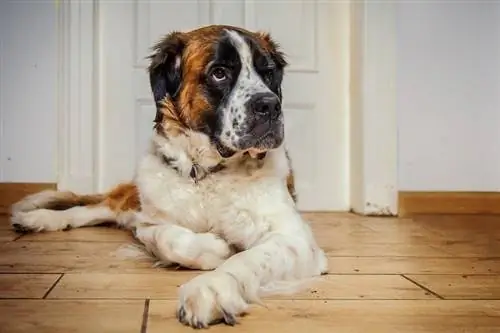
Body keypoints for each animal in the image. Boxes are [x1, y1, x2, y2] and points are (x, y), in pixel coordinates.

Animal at [9, 24, 328, 328]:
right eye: (220, 73)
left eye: (268, 73)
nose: (270, 105)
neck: (208, 174)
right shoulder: (148, 223)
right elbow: (169, 238)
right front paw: (216, 248)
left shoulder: (294, 239)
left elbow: (248, 259)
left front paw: (212, 288)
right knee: (90, 209)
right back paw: (36, 219)